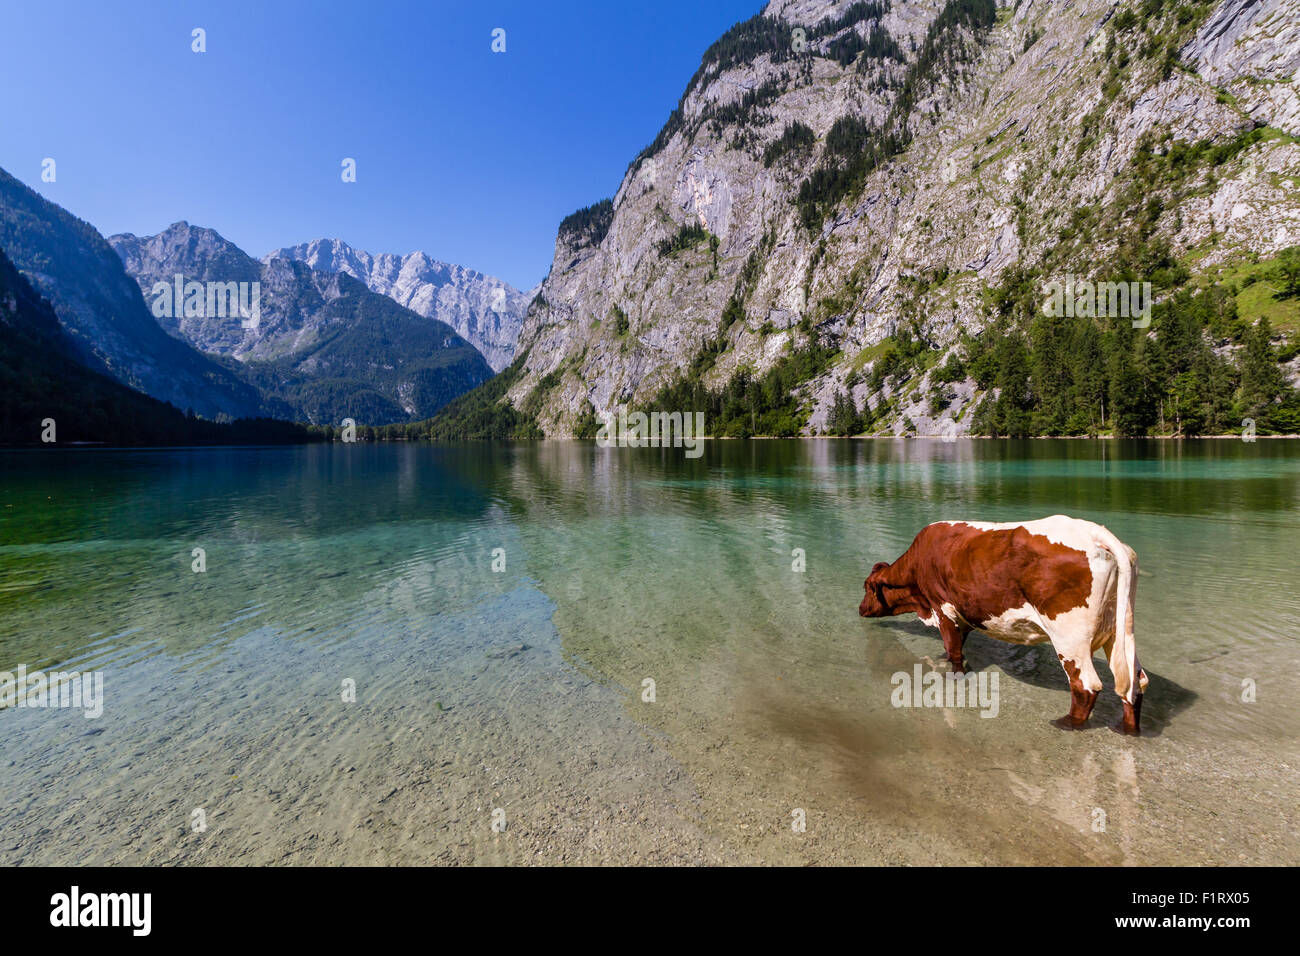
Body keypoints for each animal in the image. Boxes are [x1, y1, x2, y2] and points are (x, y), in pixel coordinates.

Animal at [858, 515, 1148, 734]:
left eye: (867, 587)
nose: (860, 609)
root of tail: (1095, 532)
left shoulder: (943, 608)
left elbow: (954, 648)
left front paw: (955, 674)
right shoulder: (965, 612)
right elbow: (957, 643)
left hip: (1069, 637)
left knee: (1085, 684)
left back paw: (1069, 723)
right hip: (1120, 631)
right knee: (1134, 681)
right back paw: (1128, 728)